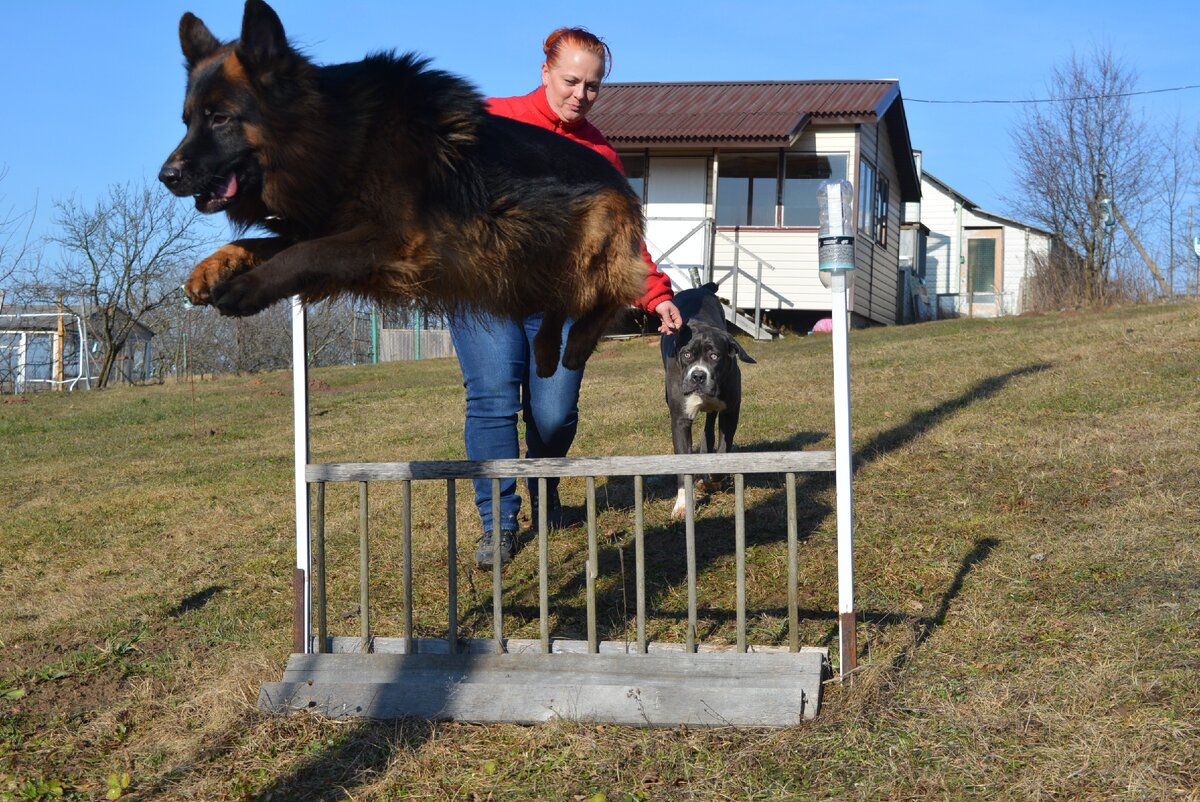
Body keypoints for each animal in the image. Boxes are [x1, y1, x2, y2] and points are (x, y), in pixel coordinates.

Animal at [162, 0, 648, 376]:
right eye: (186, 121)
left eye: (219, 118)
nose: (166, 177)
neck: (343, 137)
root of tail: (620, 178)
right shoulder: (330, 227)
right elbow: (264, 245)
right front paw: (211, 268)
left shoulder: (396, 241)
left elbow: (303, 255)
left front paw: (248, 287)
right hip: (532, 260)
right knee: (560, 301)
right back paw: (547, 348)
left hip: (585, 251)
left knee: (615, 292)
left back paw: (578, 343)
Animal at [662, 284, 753, 516]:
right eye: (686, 355)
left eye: (714, 356)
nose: (698, 376)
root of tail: (699, 288)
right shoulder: (680, 420)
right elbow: (684, 465)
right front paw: (683, 504)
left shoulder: (731, 411)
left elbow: (723, 451)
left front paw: (712, 478)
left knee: (709, 428)